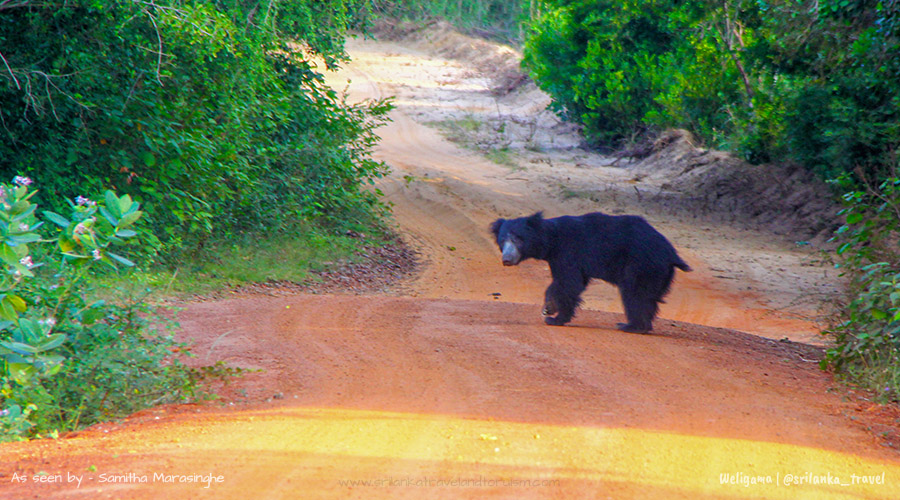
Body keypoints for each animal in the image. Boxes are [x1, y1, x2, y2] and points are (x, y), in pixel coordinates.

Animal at [492, 211, 688, 332]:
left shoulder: (567, 252)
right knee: (647, 298)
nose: (506, 260)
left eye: (518, 239)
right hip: (657, 272)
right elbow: (569, 283)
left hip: (642, 265)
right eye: (502, 241)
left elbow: (569, 283)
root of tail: (672, 254)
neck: (550, 240)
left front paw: (555, 318)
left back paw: (631, 326)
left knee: (634, 294)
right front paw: (548, 307)